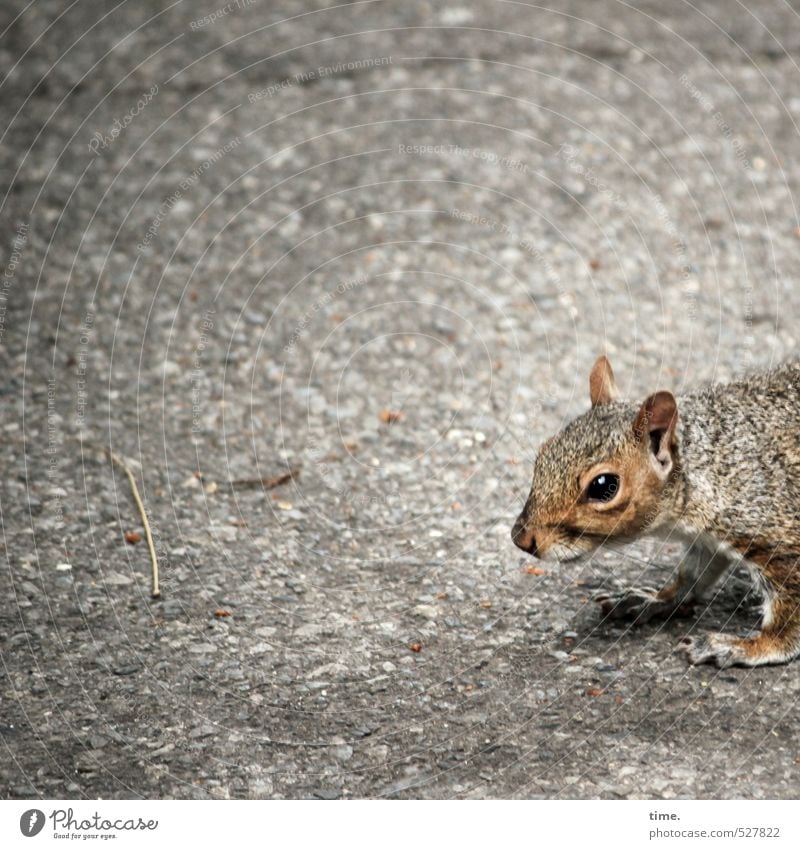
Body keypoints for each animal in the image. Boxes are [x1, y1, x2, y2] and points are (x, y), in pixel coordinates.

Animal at [512, 354, 800, 664]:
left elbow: (788, 622)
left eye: (604, 486)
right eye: (543, 453)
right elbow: (693, 574)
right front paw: (657, 598)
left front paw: (747, 646)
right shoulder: (706, 539)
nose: (520, 539)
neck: (709, 469)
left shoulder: (777, 532)